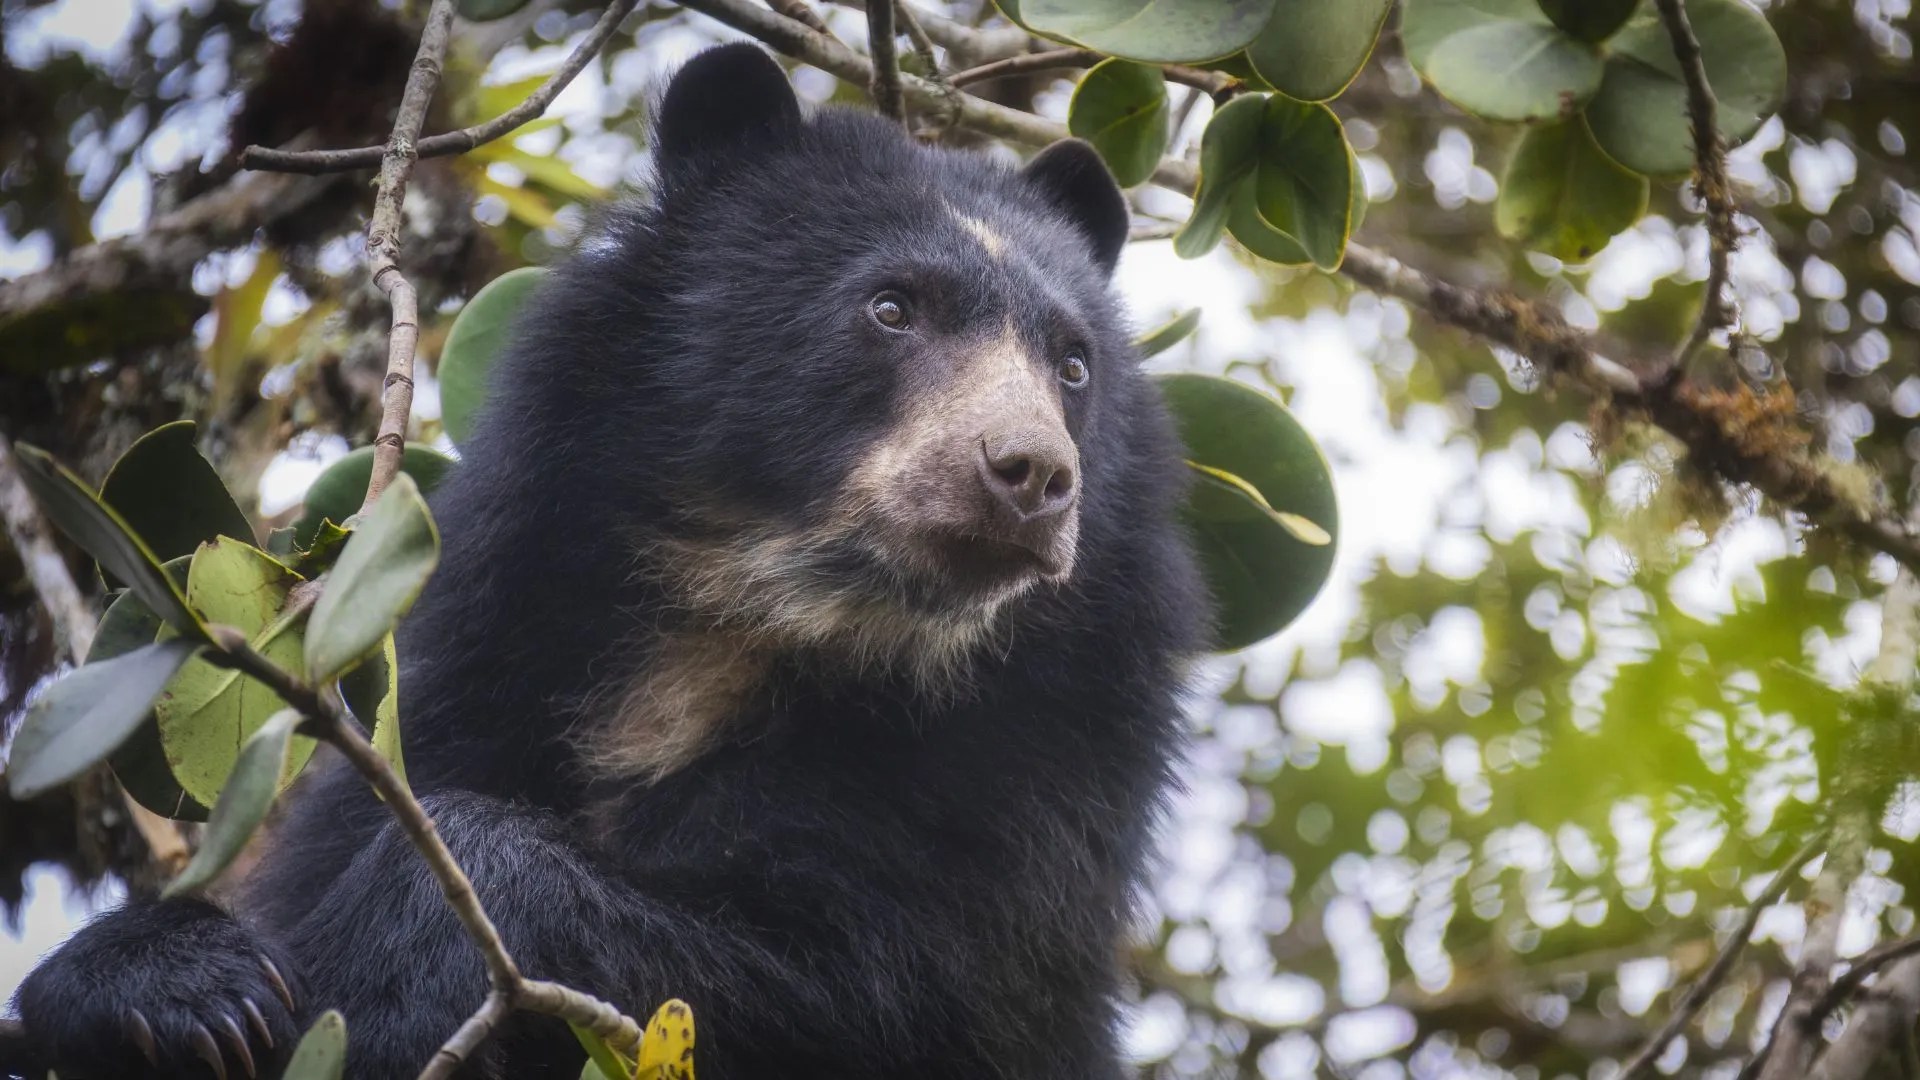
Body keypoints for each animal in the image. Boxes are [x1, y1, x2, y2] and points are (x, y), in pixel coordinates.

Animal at [9, 42, 1207, 1080]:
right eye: (890, 308)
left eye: (1072, 366)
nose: (1030, 475)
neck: (761, 624)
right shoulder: (490, 648)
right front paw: (186, 990)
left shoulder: (1016, 807)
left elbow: (866, 995)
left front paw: (397, 970)